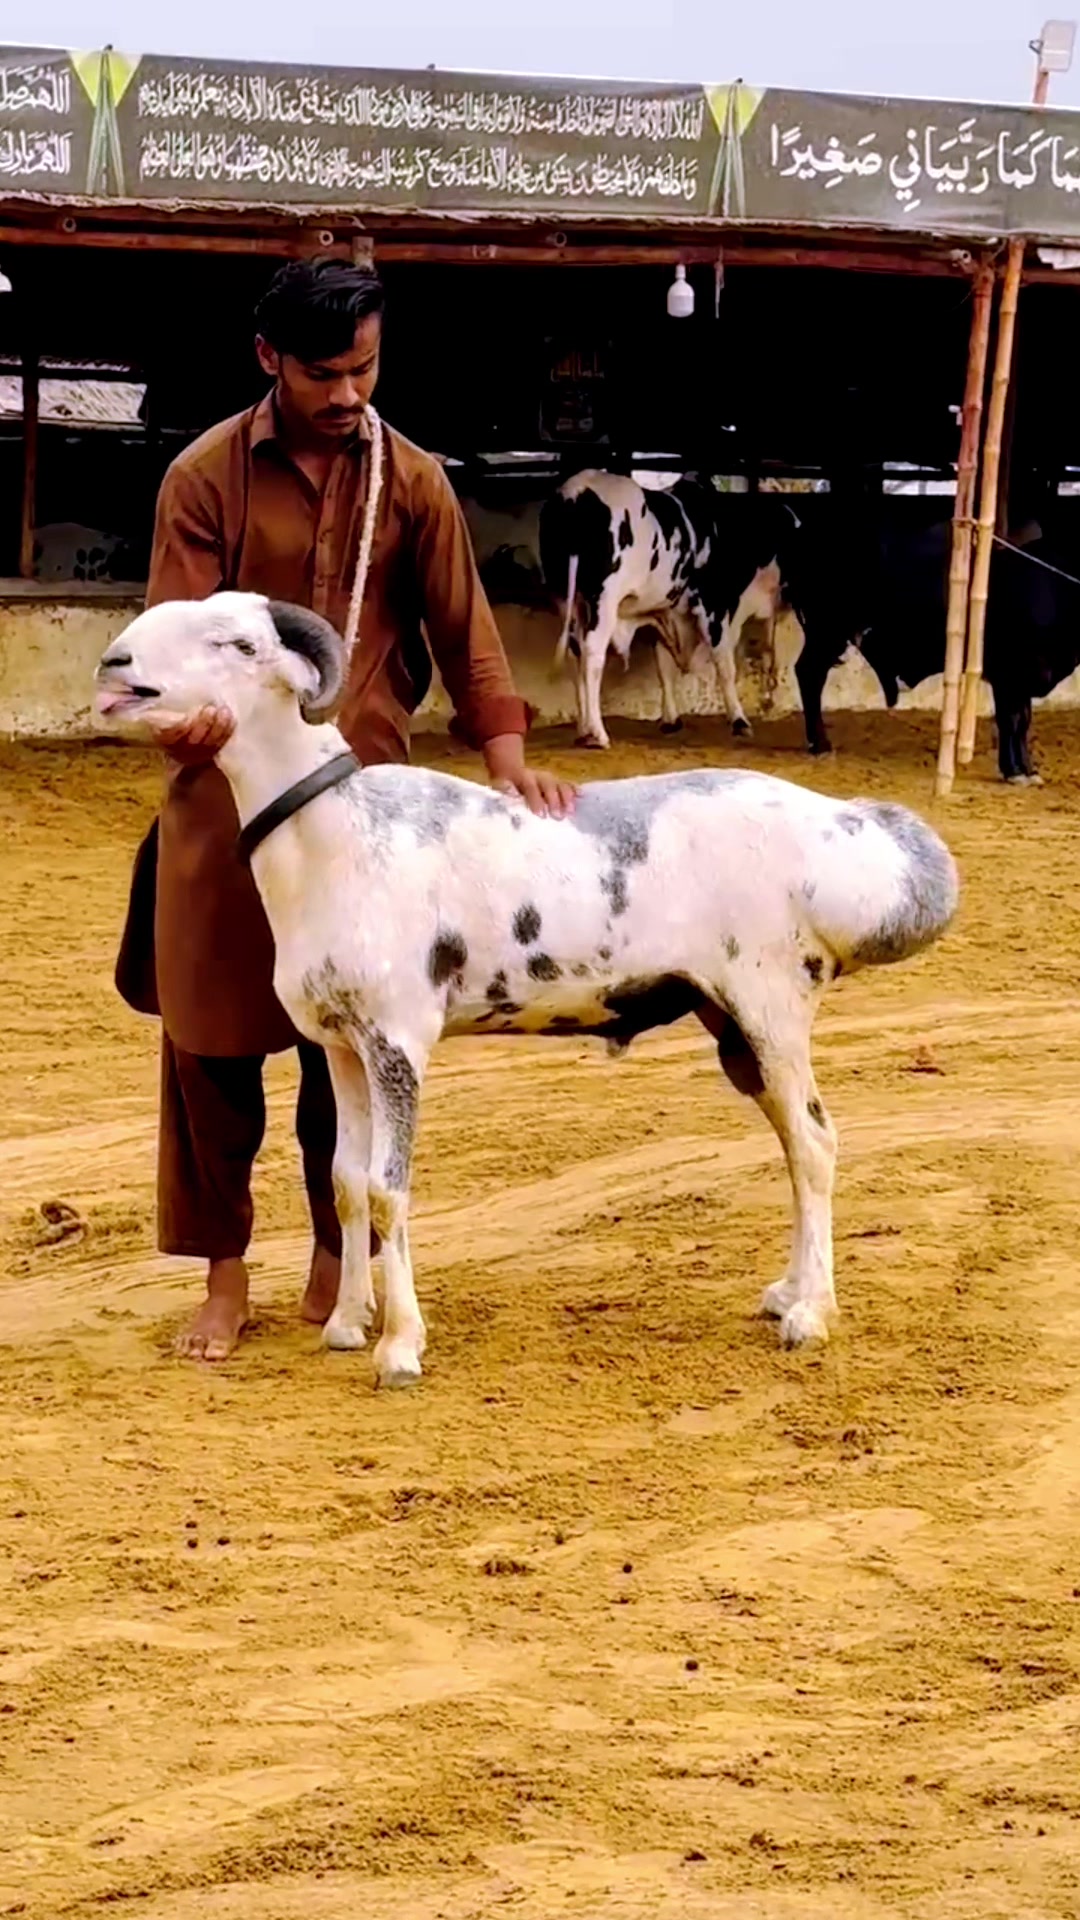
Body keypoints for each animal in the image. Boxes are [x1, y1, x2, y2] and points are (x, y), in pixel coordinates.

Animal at [96, 594, 958, 1388]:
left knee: (815, 1142)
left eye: (239, 644)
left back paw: (812, 1314)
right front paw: (344, 1323)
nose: (114, 666)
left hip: (772, 1002)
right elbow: (344, 1184)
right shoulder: (340, 1044)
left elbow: (386, 1190)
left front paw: (400, 1347)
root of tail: (852, 836)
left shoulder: (399, 1039)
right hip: (734, 1024)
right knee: (792, 1143)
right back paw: (787, 1291)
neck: (333, 833)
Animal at [538, 470, 803, 750]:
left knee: (575, 654)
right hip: (603, 600)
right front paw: (739, 720)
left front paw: (671, 719)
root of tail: (576, 490)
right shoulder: (715, 608)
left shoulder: (665, 612)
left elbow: (664, 668)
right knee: (592, 654)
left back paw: (582, 729)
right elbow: (725, 666)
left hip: (565, 597)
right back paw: (596, 733)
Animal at [793, 520, 1080, 784]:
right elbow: (1013, 720)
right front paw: (1015, 772)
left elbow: (1024, 721)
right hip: (826, 630)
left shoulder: (1024, 677)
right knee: (809, 675)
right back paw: (820, 744)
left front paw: (1028, 770)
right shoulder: (1008, 673)